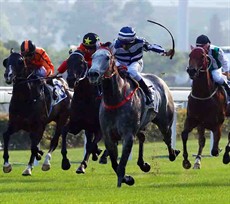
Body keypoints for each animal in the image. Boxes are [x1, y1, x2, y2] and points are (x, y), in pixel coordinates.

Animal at [88, 47, 180, 186]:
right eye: (92, 56)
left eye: (107, 57)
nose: (93, 73)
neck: (115, 100)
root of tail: (161, 81)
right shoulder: (109, 136)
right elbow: (115, 163)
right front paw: (126, 178)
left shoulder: (128, 134)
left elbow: (121, 163)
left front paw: (124, 180)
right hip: (141, 124)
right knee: (142, 137)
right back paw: (143, 164)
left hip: (165, 122)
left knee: (167, 138)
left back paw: (174, 153)